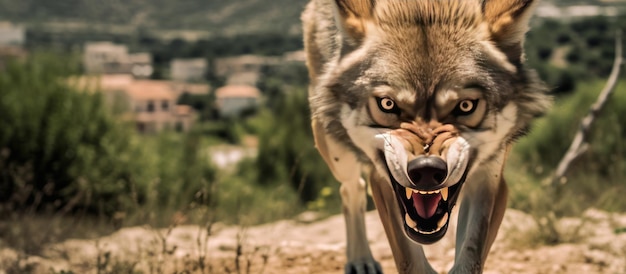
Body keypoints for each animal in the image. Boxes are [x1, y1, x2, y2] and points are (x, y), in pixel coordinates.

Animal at [302, 0, 552, 272]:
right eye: (387, 104)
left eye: (465, 106)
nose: (427, 171)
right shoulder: (383, 180)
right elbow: (410, 259)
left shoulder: (490, 178)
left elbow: (471, 254)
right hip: (334, 146)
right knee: (351, 189)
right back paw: (361, 260)